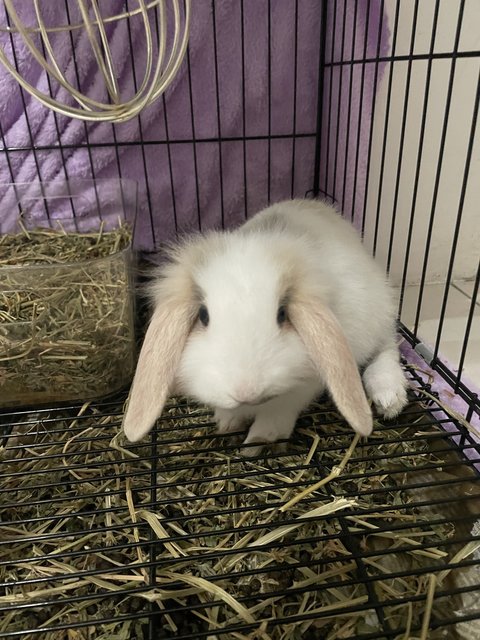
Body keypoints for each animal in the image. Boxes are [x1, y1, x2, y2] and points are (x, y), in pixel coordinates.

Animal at [122, 198, 406, 452]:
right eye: (203, 315)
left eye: (282, 314)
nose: (246, 391)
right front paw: (228, 423)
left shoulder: (302, 388)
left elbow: (278, 413)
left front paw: (258, 442)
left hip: (378, 318)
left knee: (387, 348)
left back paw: (389, 398)